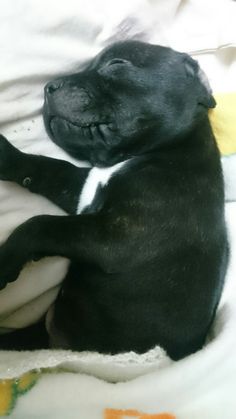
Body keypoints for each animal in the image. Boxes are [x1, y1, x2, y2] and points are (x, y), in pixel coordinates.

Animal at [0, 40, 228, 360]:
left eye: (117, 64)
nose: (49, 86)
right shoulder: (80, 189)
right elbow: (49, 167)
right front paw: (7, 156)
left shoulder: (117, 238)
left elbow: (41, 225)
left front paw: (5, 259)